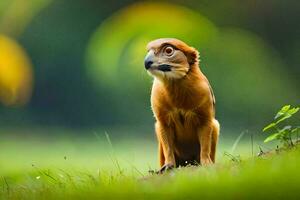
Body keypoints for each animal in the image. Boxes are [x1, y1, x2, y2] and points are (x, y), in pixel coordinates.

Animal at [144, 38, 219, 173]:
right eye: (148, 51)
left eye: (168, 50)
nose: (147, 62)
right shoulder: (162, 121)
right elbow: (167, 145)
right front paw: (169, 165)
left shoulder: (205, 117)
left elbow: (205, 143)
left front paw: (206, 162)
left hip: (215, 126)